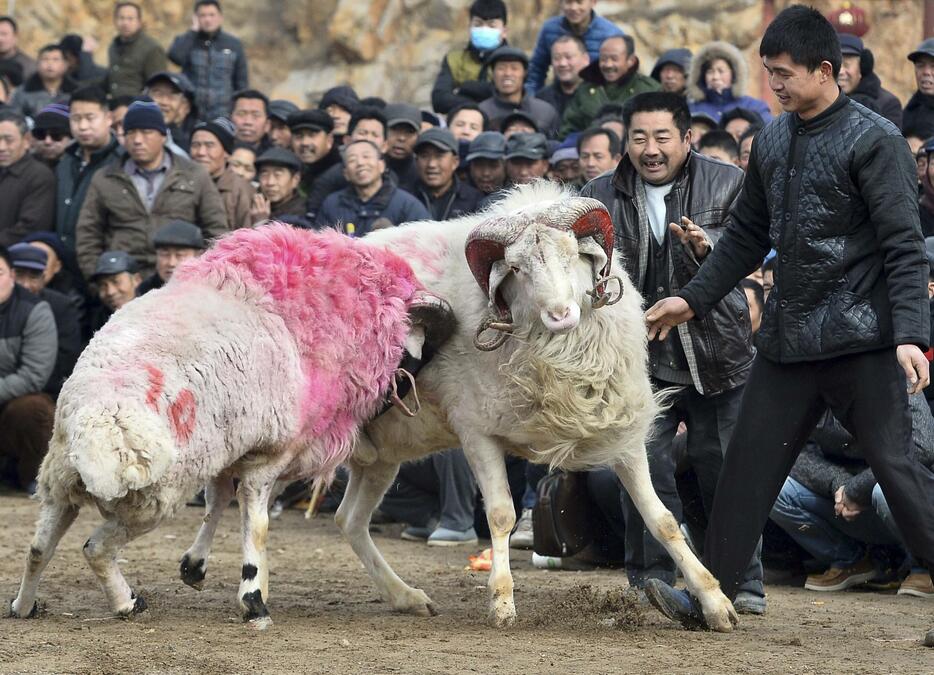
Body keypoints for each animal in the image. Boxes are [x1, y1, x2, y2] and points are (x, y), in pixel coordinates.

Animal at [10, 226, 442, 628]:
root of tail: (100, 425)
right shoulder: (270, 453)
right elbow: (256, 520)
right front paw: (253, 598)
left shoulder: (228, 446)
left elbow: (218, 499)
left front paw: (196, 566)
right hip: (150, 500)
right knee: (95, 548)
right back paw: (127, 603)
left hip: (59, 482)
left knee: (38, 548)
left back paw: (24, 605)